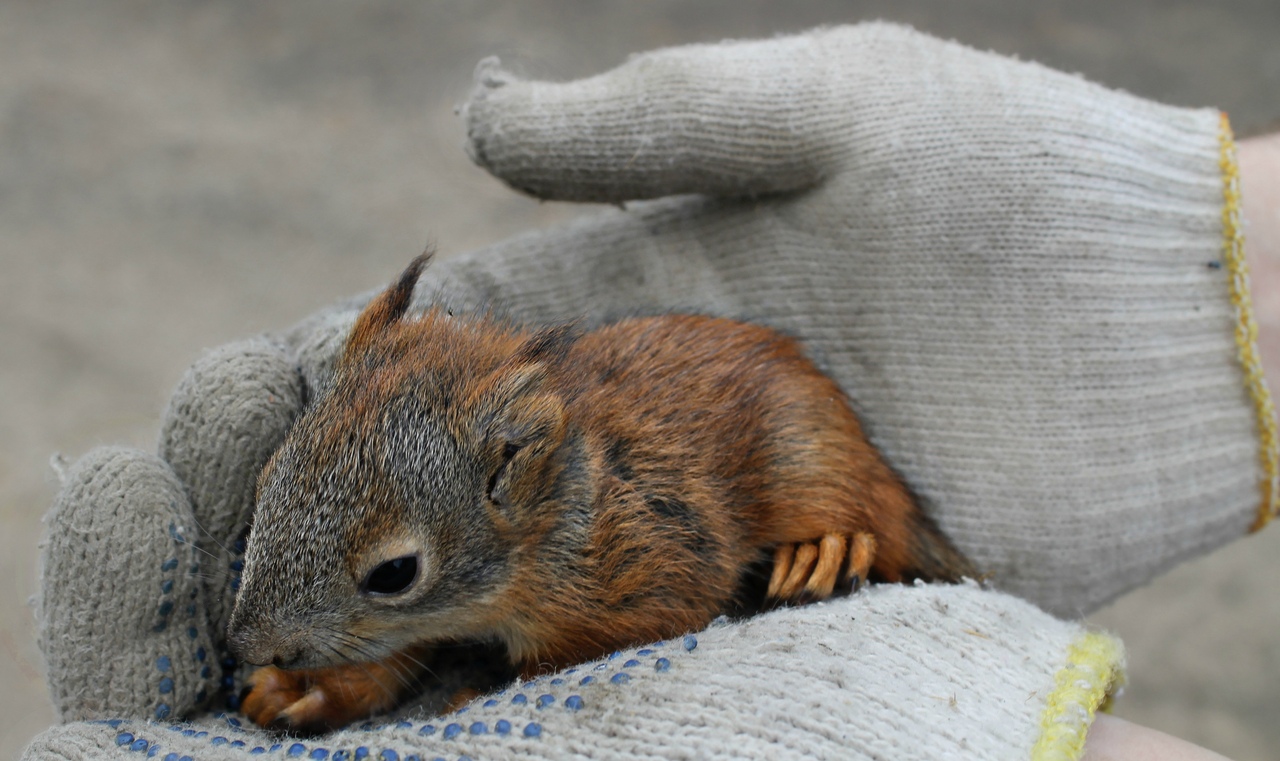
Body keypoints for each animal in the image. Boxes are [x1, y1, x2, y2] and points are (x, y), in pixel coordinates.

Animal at [227, 254, 967, 731]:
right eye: (265, 482)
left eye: (395, 573)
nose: (248, 646)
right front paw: (301, 690)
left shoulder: (648, 567)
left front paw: (477, 690)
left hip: (819, 463)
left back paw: (825, 549)